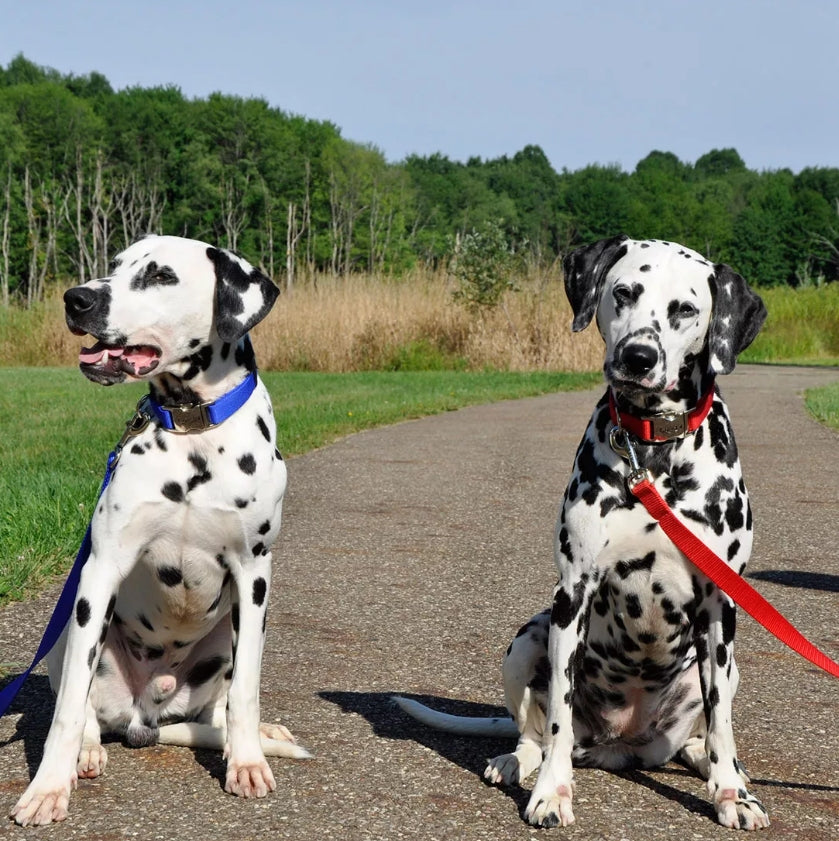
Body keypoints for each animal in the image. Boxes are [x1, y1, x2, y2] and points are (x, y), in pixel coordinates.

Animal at [11, 233, 308, 824]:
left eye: (160, 276)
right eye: (115, 265)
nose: (76, 298)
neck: (194, 431)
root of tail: (143, 718)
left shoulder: (254, 576)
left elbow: (246, 691)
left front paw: (246, 761)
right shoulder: (100, 570)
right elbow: (68, 706)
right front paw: (47, 787)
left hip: (222, 642)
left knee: (219, 704)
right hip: (70, 622)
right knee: (83, 706)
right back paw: (87, 751)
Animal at [398, 235, 772, 828]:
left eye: (685, 309)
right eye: (624, 292)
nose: (638, 357)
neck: (651, 451)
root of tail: (621, 744)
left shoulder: (720, 607)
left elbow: (722, 724)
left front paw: (732, 793)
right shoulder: (571, 594)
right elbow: (557, 714)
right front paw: (552, 793)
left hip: (721, 670)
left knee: (705, 731)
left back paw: (714, 767)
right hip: (527, 640)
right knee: (537, 731)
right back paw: (515, 761)